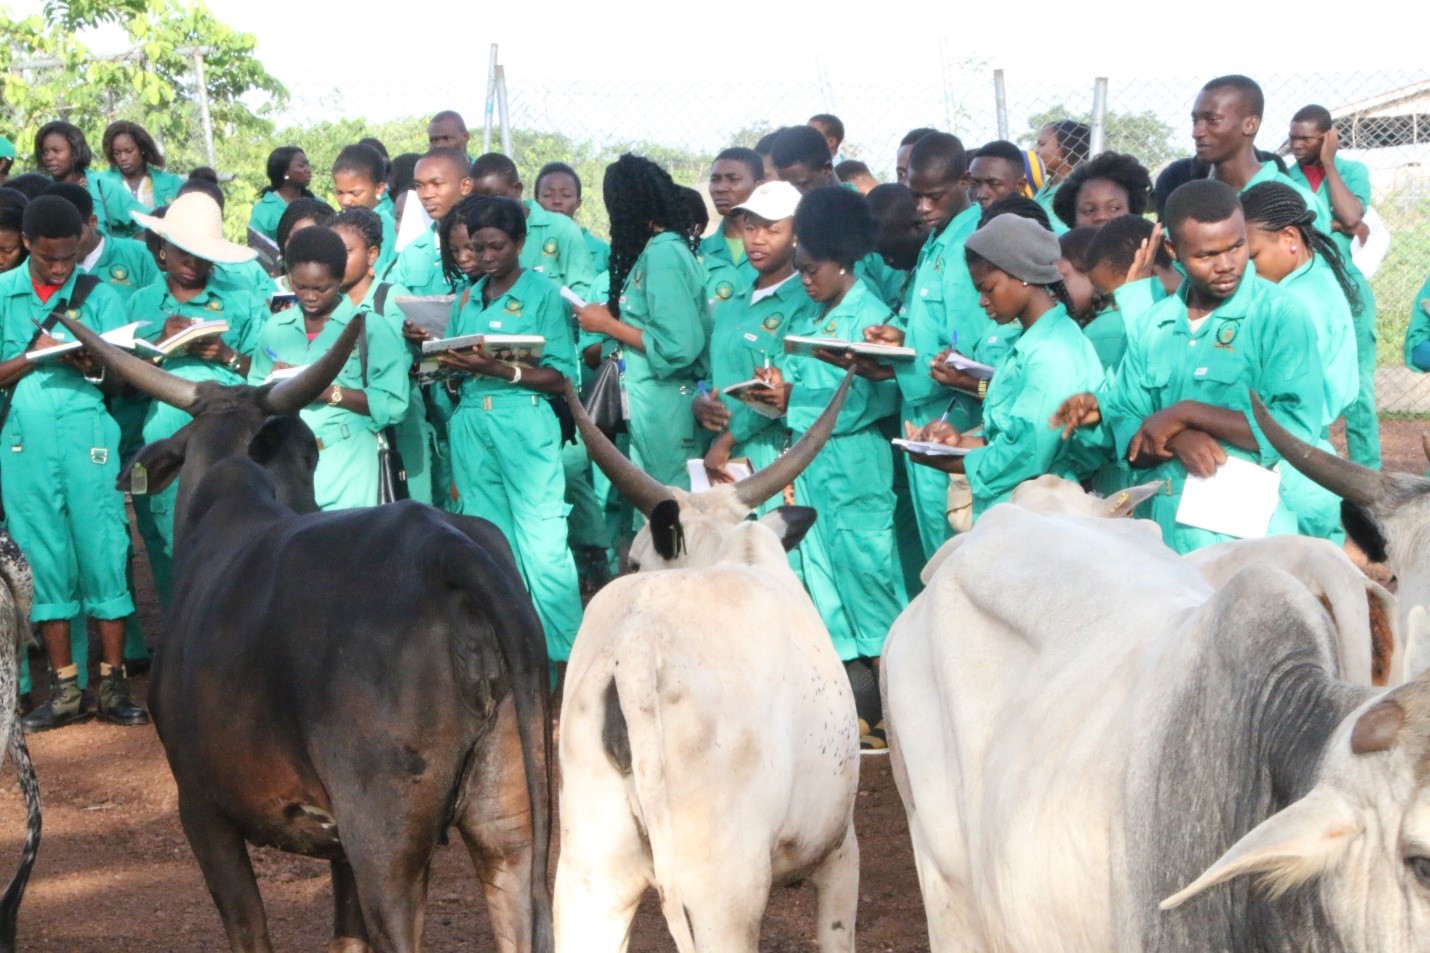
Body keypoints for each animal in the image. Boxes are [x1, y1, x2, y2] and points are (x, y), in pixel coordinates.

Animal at [62, 314, 551, 950]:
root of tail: (447, 549)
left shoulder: (201, 809)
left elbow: (249, 927)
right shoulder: (336, 842)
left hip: (385, 841)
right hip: (507, 824)